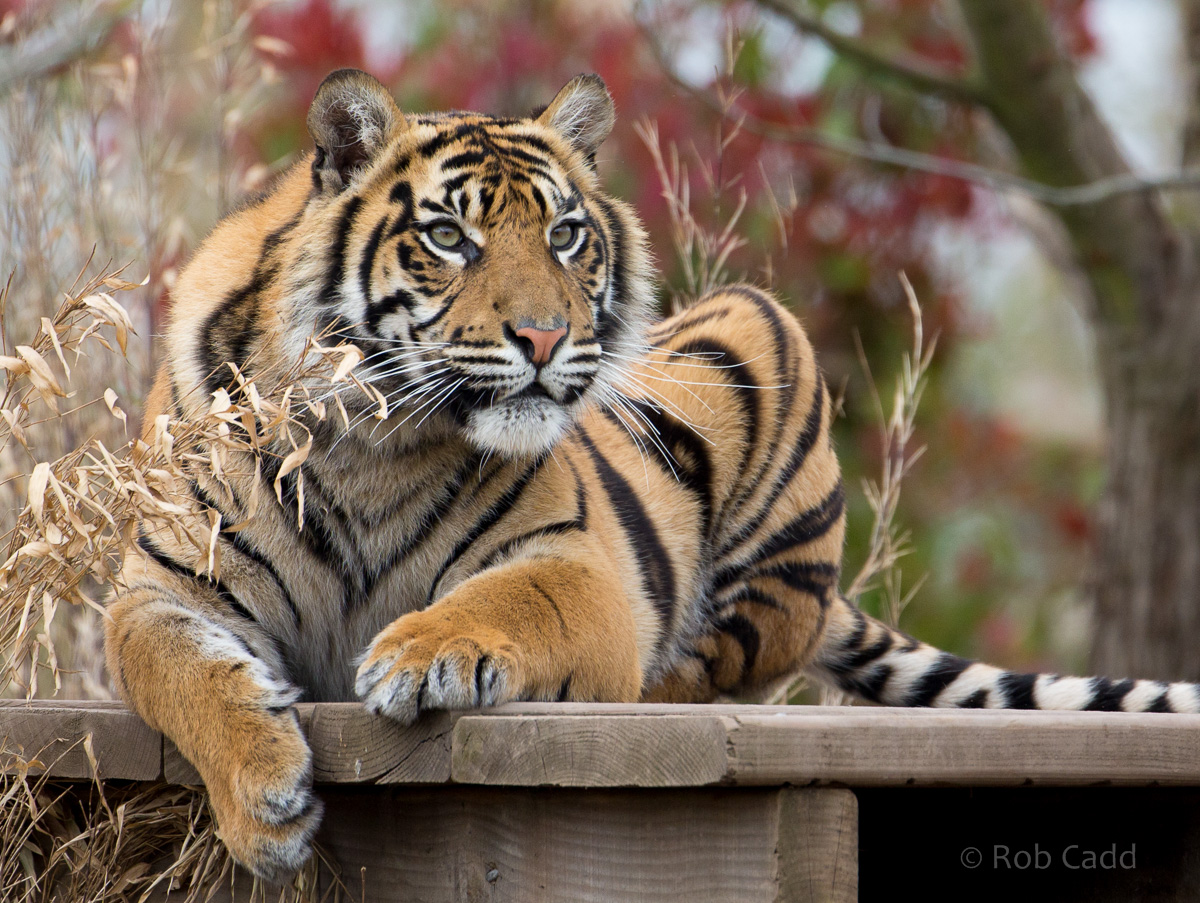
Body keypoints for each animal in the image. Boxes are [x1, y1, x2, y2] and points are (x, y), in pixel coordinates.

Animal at [104, 68, 1200, 882]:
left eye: (565, 235)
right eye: (449, 237)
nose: (545, 336)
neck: (374, 442)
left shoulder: (576, 563)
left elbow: (505, 600)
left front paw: (422, 652)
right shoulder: (161, 588)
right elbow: (179, 674)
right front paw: (264, 803)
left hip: (760, 338)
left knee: (728, 659)